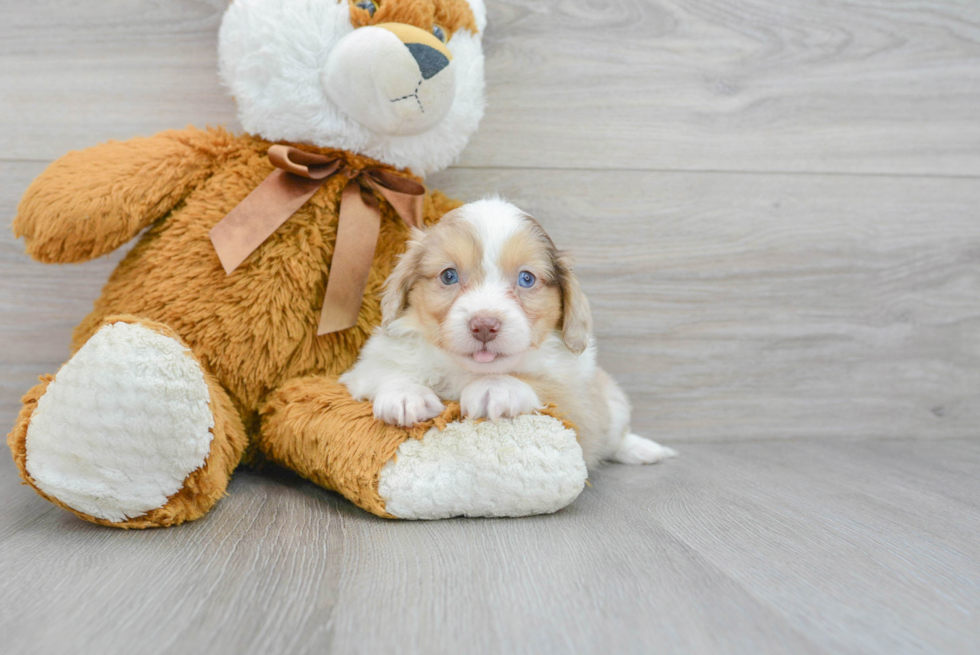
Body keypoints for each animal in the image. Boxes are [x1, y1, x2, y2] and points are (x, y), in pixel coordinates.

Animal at [340, 196, 676, 466]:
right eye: (449, 276)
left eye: (526, 279)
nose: (484, 326)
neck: (468, 370)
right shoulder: (363, 369)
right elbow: (386, 371)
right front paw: (406, 394)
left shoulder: (580, 401)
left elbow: (544, 386)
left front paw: (497, 387)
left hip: (613, 401)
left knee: (617, 437)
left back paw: (644, 450)